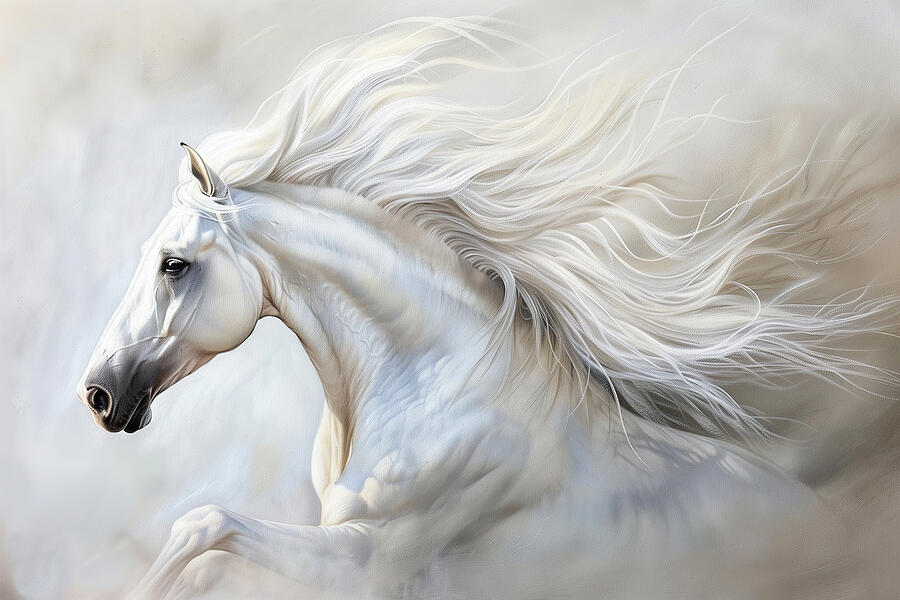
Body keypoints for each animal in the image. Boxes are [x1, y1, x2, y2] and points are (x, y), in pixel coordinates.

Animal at [76, 18, 899, 599]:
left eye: (174, 264)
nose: (98, 394)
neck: (434, 394)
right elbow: (206, 552)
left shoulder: (375, 565)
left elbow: (201, 525)